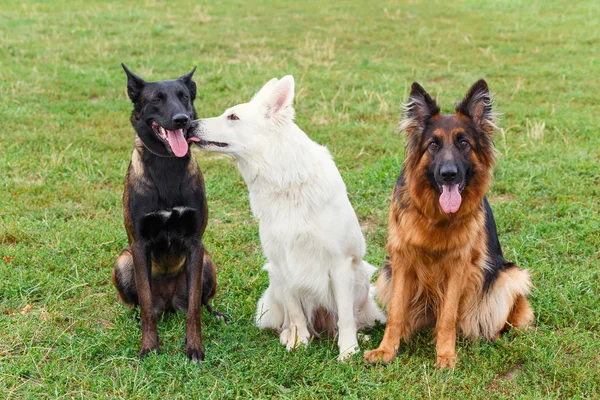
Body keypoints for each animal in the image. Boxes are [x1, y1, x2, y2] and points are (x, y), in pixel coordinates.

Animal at [111, 65, 224, 362]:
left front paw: (194, 347)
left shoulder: (196, 244)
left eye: (184, 97)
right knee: (140, 304)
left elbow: (194, 307)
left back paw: (217, 313)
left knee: (203, 301)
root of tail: (170, 302)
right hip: (122, 262)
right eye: (156, 99)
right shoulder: (139, 246)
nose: (181, 120)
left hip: (208, 263)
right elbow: (146, 305)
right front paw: (149, 346)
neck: (166, 165)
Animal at [190, 75, 384, 360]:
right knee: (287, 319)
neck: (284, 180)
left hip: (359, 278)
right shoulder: (282, 263)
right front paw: (298, 341)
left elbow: (346, 316)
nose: (189, 123)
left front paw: (348, 350)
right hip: (273, 290)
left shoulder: (340, 264)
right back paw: (288, 334)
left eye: (233, 117)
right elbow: (295, 312)